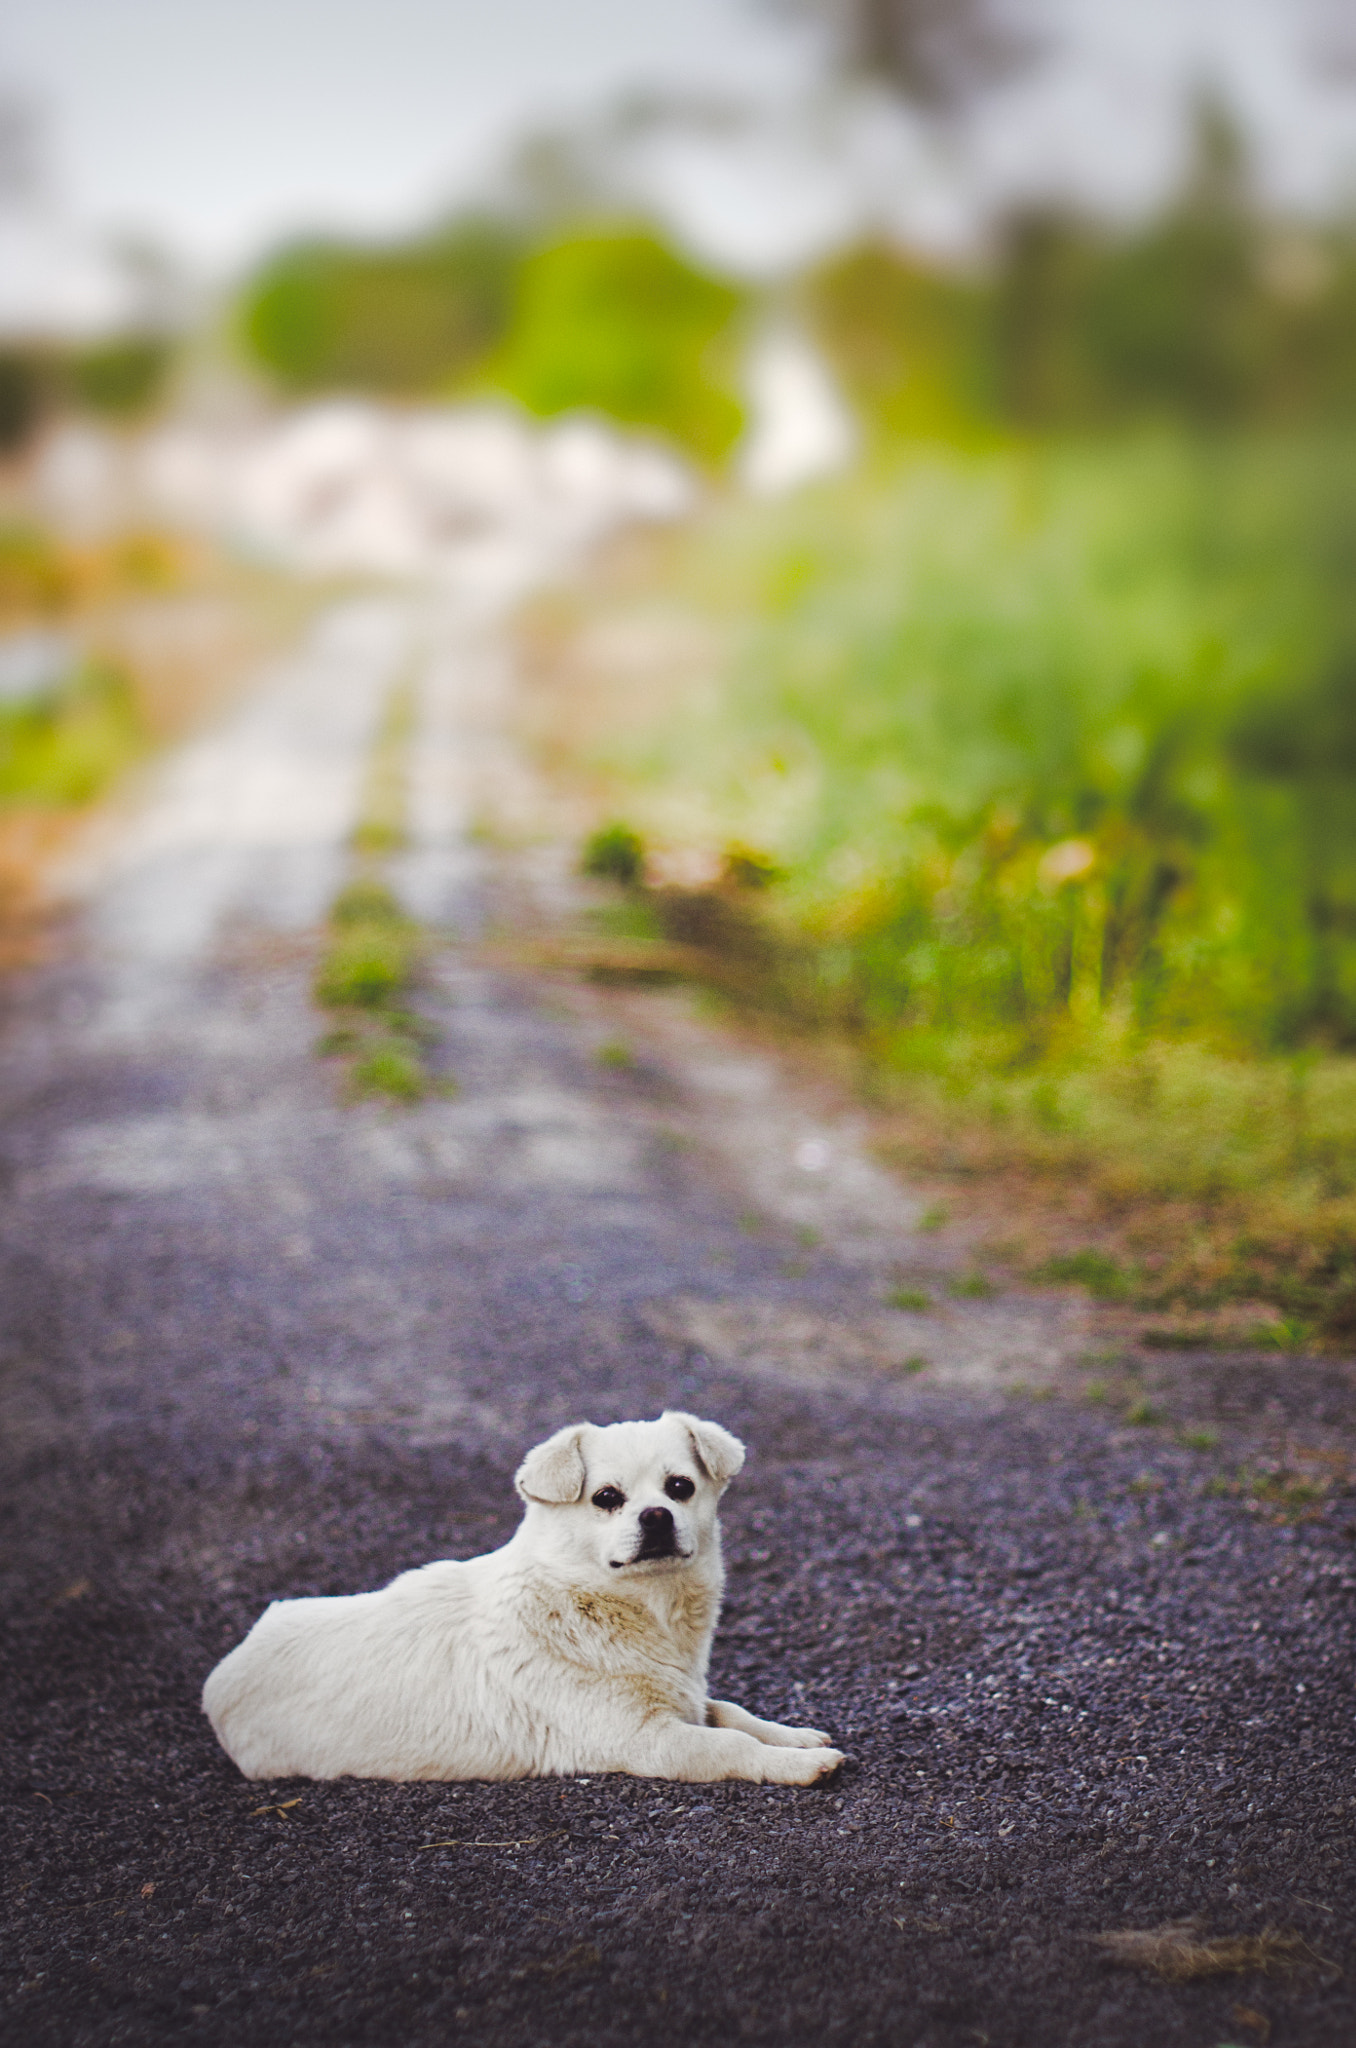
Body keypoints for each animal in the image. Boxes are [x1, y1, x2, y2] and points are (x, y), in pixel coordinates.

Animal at [200, 1417, 843, 1785]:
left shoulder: (684, 1702)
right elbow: (728, 1744)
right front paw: (796, 1766)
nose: (657, 1516)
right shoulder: (648, 1741)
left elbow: (731, 1712)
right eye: (606, 1498)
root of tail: (227, 1668)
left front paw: (791, 1736)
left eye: (680, 1487)